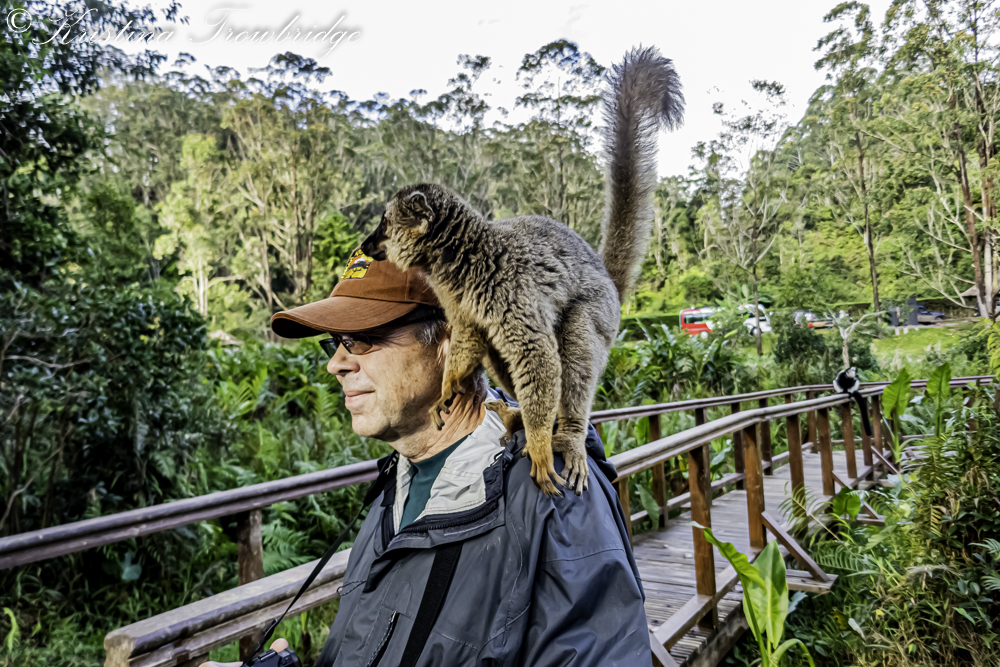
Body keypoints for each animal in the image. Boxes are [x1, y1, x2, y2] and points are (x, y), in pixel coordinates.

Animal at [360, 47, 683, 496]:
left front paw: (541, 444)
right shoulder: (459, 300)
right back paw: (518, 418)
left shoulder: (510, 289)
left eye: (384, 225)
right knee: (499, 354)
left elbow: (538, 354)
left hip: (599, 312)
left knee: (574, 348)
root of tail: (607, 280)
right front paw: (449, 385)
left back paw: (565, 434)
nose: (364, 245)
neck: (459, 261)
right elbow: (468, 338)